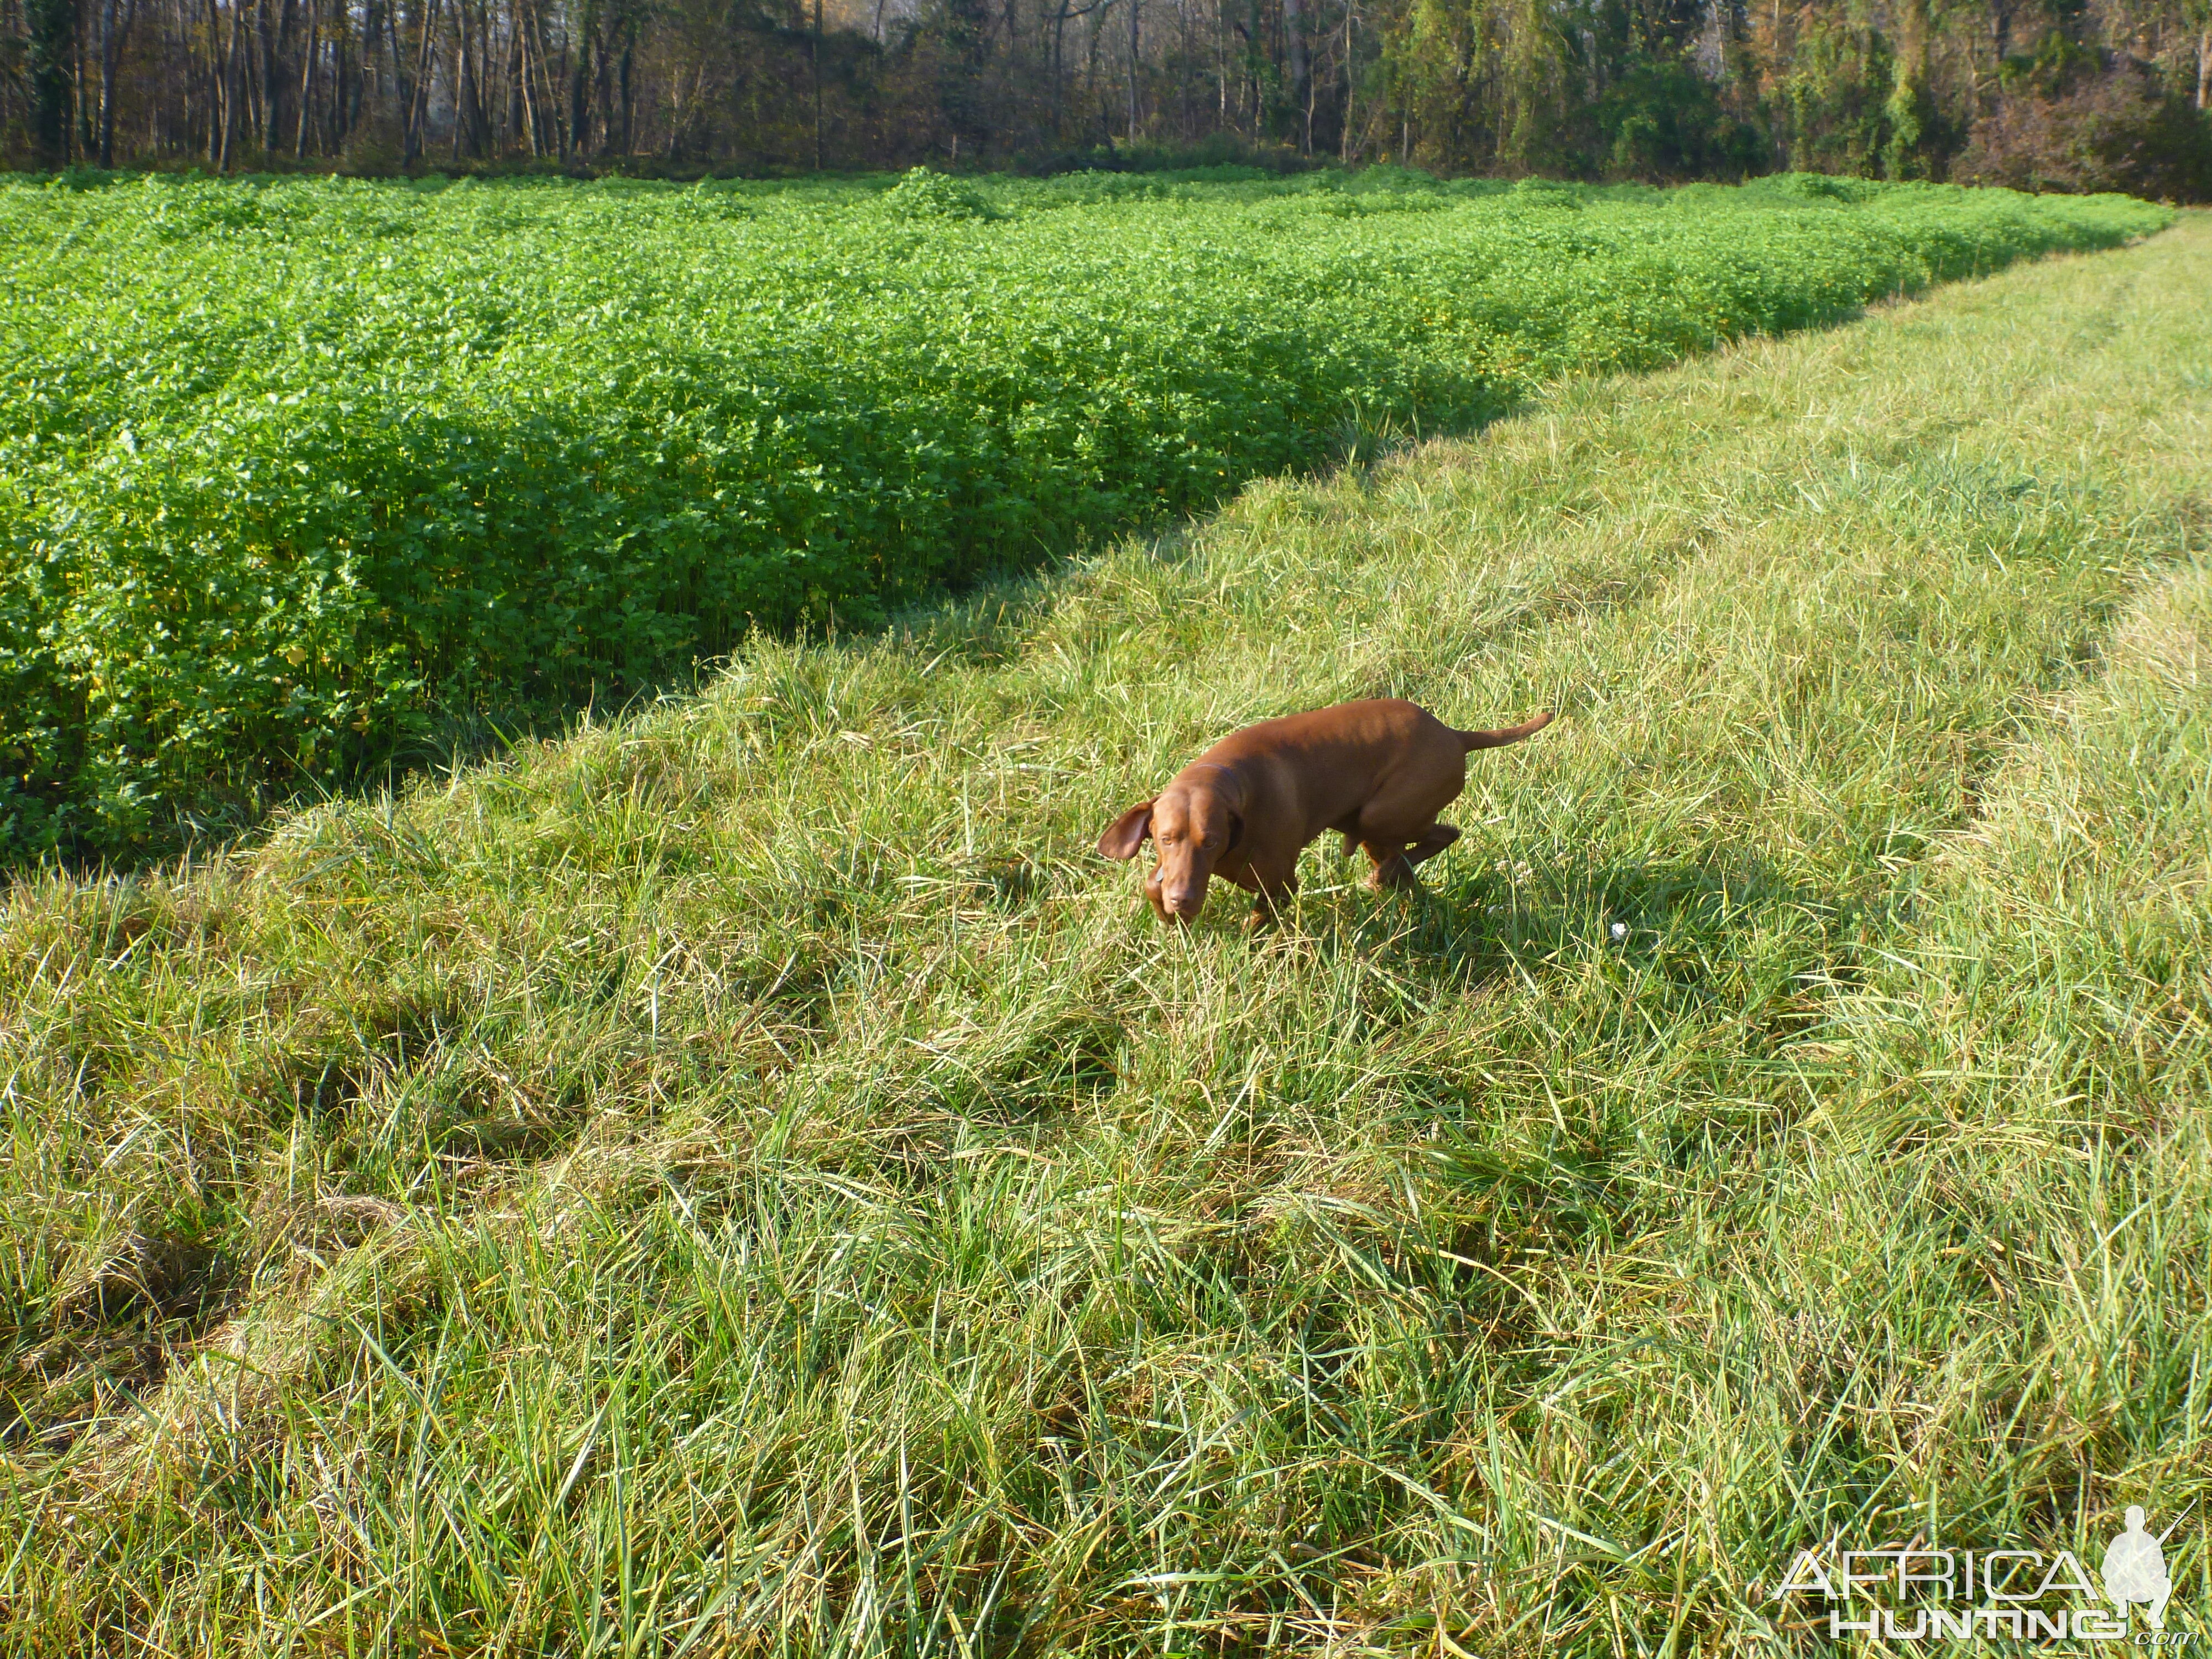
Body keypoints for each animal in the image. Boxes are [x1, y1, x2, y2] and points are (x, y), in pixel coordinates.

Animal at [1102, 699, 1557, 929]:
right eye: (1165, 839)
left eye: (1210, 840)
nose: (1182, 900)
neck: (1230, 780)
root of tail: (1455, 735)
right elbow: (1152, 883)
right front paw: (1167, 913)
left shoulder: (1280, 885)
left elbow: (1259, 920)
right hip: (1364, 825)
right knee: (1406, 865)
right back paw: (1395, 885)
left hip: (1381, 814)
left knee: (1442, 836)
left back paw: (1384, 877)